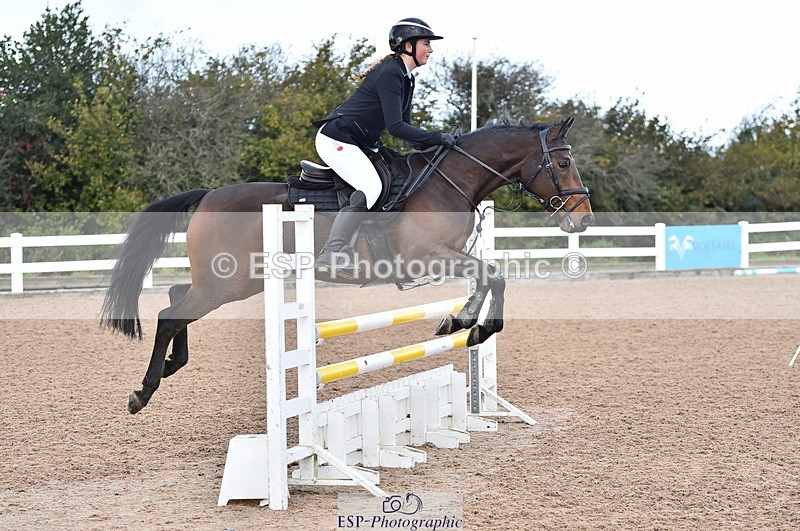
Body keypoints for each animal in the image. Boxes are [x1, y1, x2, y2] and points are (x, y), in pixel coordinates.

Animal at [101, 116, 594, 414]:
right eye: (563, 161)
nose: (584, 218)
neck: (449, 181)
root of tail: (207, 195)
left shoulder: (447, 258)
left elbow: (490, 276)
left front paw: (464, 322)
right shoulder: (425, 258)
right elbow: (492, 274)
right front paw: (471, 324)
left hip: (233, 281)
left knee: (174, 299)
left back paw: (171, 365)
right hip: (228, 283)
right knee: (171, 313)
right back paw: (143, 391)